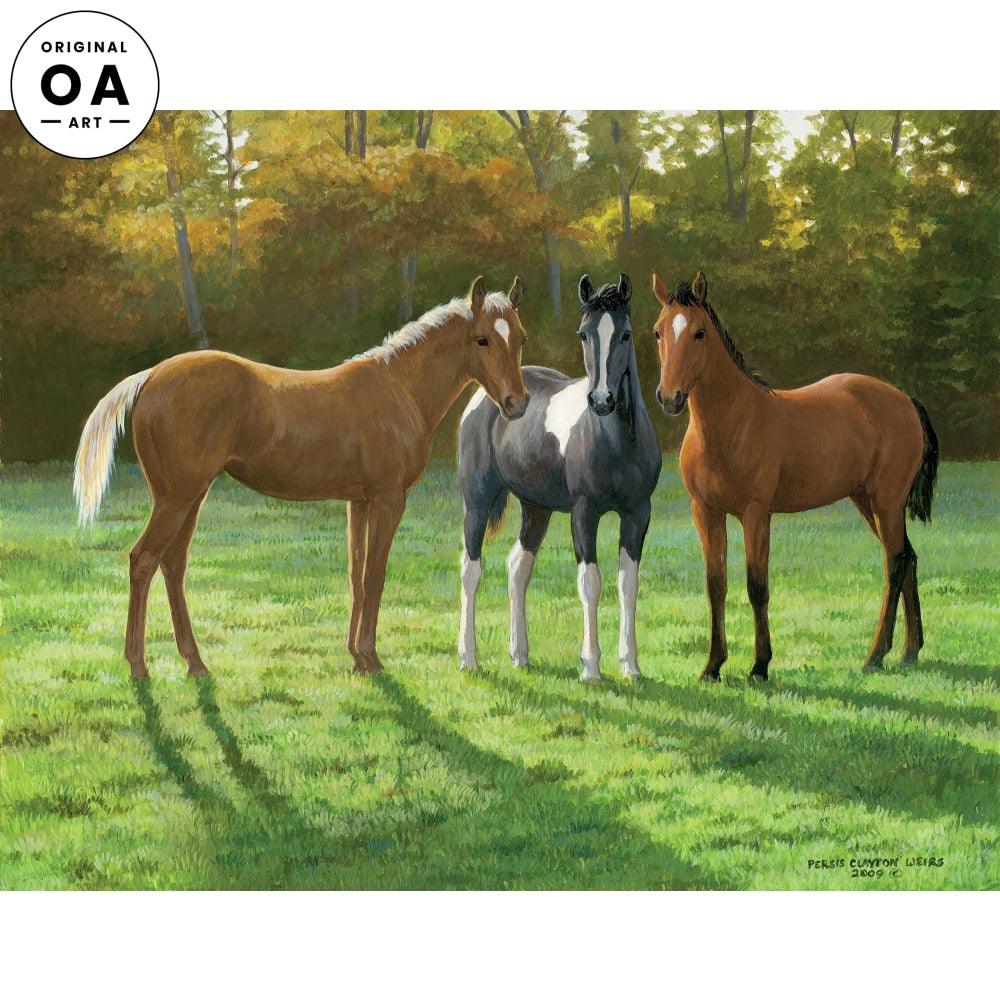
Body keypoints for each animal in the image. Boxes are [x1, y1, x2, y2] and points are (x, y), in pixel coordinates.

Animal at [73, 276, 530, 680]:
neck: (398, 387)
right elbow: (375, 576)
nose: (517, 404)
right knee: (143, 561)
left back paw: (195, 664)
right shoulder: (388, 499)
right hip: (176, 499)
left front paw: (356, 658)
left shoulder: (359, 501)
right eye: (482, 339)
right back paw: (138, 666)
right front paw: (371, 659)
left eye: (521, 338)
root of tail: (150, 376)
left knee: (173, 564)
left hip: (190, 497)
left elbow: (356, 575)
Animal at [457, 273, 661, 682]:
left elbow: (628, 584)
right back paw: (469, 658)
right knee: (471, 569)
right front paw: (591, 667)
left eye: (626, 334)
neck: (615, 442)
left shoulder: (638, 513)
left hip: (536, 509)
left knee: (518, 567)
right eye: (584, 334)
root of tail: (491, 397)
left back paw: (520, 655)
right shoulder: (584, 512)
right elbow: (591, 583)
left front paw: (631, 666)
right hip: (477, 502)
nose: (601, 400)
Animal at [651, 269, 939, 681]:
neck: (731, 423)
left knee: (895, 564)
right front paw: (712, 666)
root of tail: (906, 400)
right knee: (908, 558)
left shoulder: (756, 514)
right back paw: (909, 651)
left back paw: (874, 656)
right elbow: (715, 586)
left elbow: (757, 585)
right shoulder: (705, 512)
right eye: (659, 331)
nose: (669, 397)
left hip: (887, 503)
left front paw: (759, 666)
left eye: (699, 332)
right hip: (868, 502)